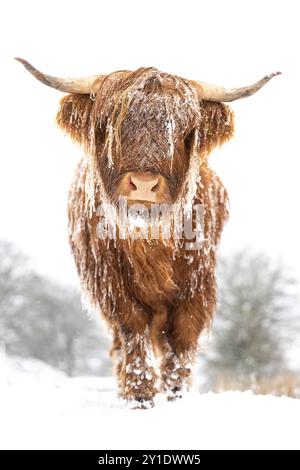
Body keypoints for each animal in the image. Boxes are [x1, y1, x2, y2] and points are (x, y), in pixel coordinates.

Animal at [15, 57, 278, 406]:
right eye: (109, 125)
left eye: (184, 131)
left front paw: (177, 395)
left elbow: (182, 337)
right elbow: (132, 329)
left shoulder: (198, 285)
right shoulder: (111, 284)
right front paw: (139, 394)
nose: (143, 183)